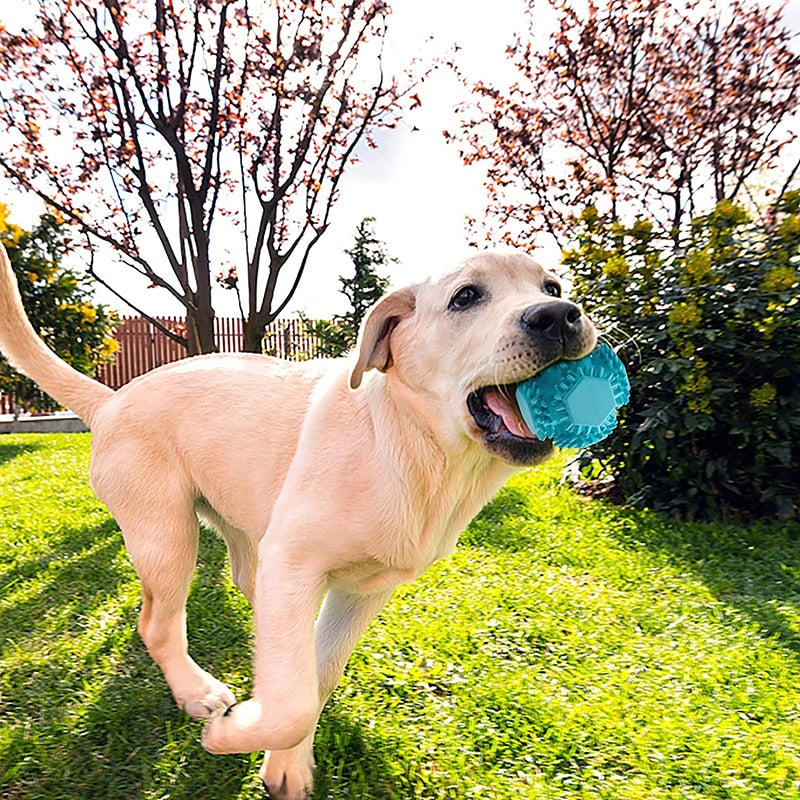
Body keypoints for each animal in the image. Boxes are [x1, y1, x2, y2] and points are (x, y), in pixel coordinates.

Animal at [0, 244, 592, 800]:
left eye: (553, 286)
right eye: (466, 297)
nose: (560, 315)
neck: (410, 445)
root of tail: (111, 400)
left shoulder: (362, 589)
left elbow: (315, 677)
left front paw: (286, 759)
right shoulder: (296, 563)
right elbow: (292, 704)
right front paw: (236, 732)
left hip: (246, 538)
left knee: (258, 608)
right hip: (167, 537)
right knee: (158, 625)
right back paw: (198, 694)